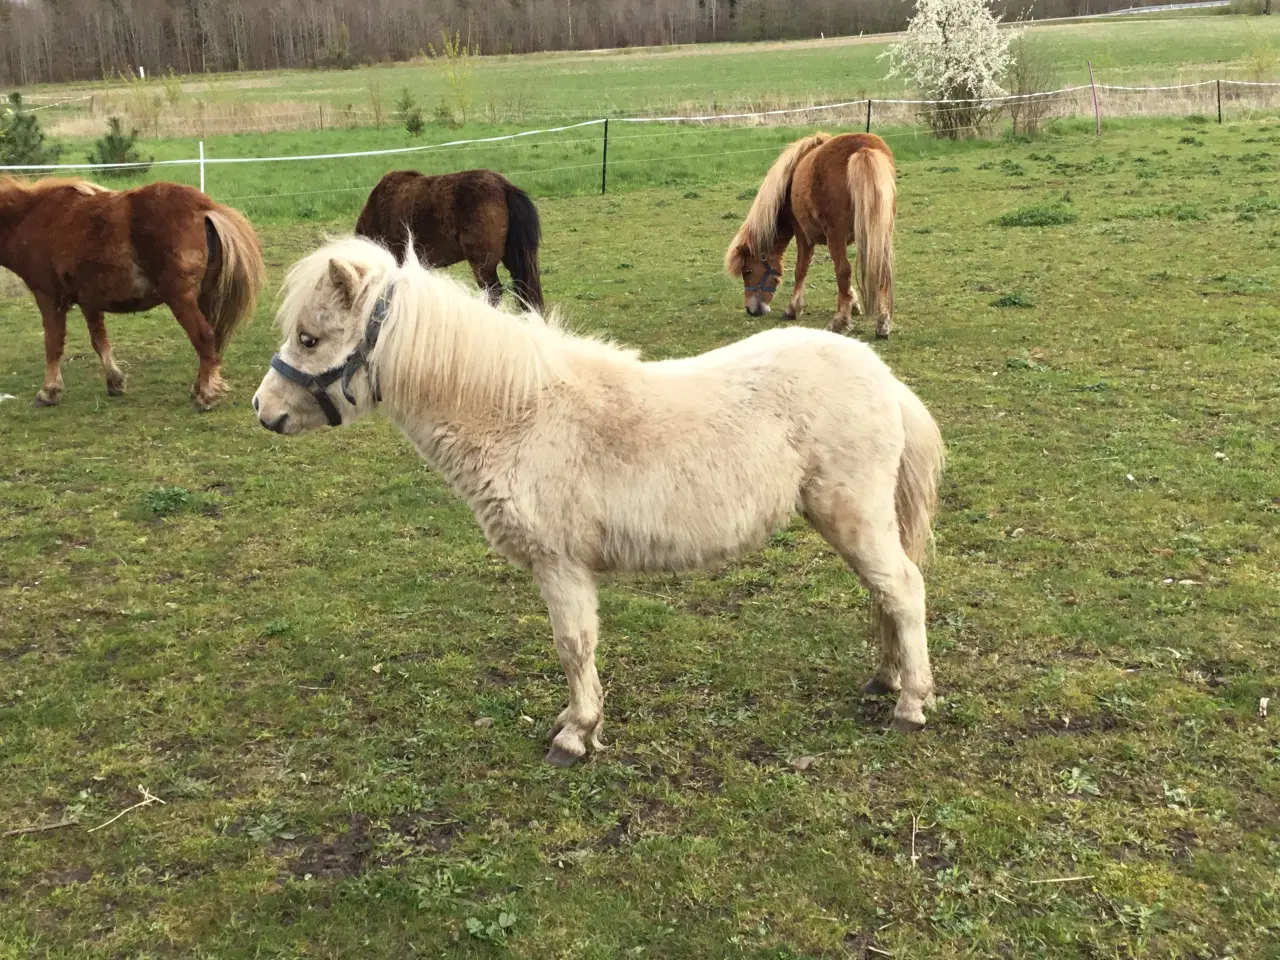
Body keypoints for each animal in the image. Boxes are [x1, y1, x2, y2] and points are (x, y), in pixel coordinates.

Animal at [0, 179, 264, 412]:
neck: (33, 217)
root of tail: (204, 208)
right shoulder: (89, 301)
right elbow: (100, 342)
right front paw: (115, 382)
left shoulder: (48, 297)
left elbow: (53, 344)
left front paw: (49, 392)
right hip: (204, 297)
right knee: (212, 341)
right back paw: (199, 387)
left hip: (181, 299)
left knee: (204, 337)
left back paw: (206, 396)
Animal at [727, 132, 896, 337]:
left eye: (748, 271)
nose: (750, 310)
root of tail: (862, 149)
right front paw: (854, 302)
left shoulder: (803, 235)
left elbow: (801, 269)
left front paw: (793, 308)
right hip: (880, 233)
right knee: (881, 271)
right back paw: (883, 323)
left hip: (836, 235)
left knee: (843, 271)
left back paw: (839, 321)